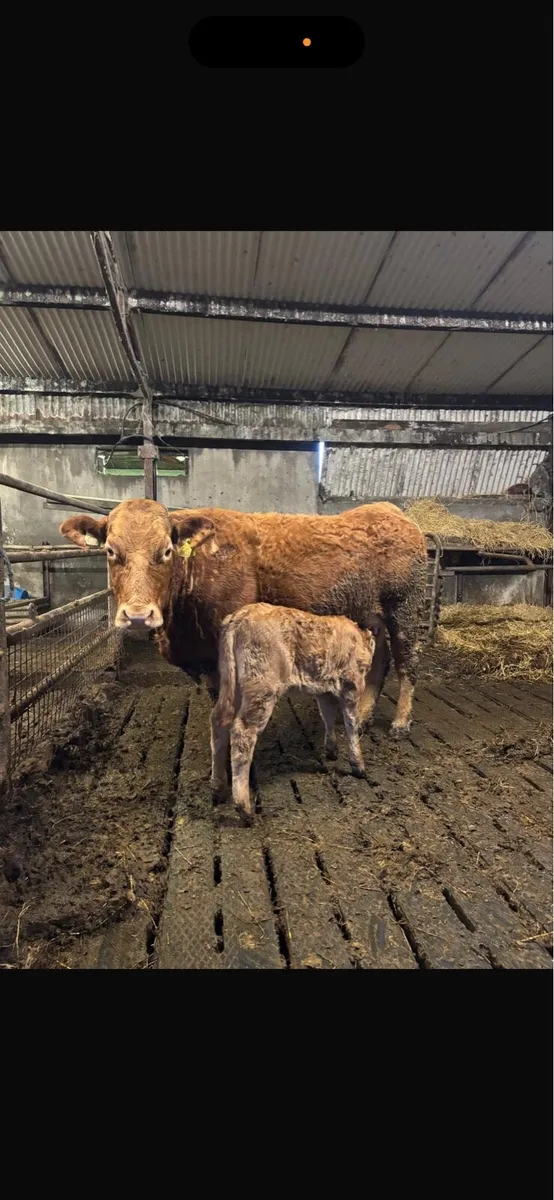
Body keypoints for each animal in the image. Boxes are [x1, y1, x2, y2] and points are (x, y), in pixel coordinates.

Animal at [60, 498, 426, 735]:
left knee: (407, 664)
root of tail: (391, 512)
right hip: (371, 615)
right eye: (110, 550)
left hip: (406, 610)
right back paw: (363, 717)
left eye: (166, 551)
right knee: (380, 661)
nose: (137, 615)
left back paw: (400, 723)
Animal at [210, 605, 389, 824]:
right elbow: (351, 724)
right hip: (262, 687)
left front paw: (331, 750)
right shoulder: (352, 685)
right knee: (242, 732)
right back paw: (244, 809)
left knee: (219, 721)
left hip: (232, 683)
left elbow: (328, 716)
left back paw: (219, 788)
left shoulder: (325, 690)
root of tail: (240, 615)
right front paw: (358, 766)